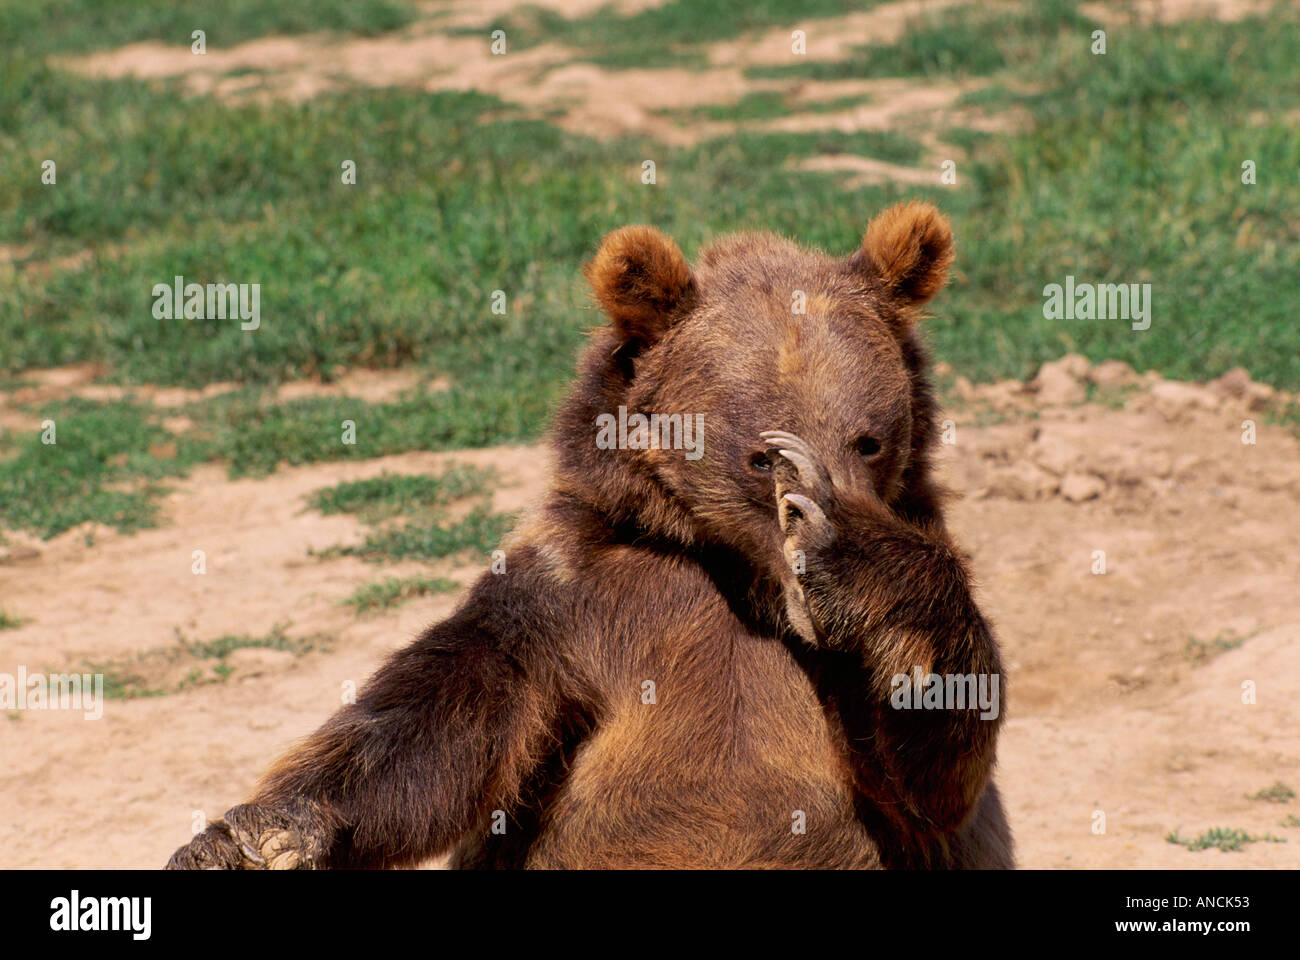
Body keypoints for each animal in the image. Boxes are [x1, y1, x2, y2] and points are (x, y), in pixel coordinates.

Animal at [167, 200, 1008, 868]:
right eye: (759, 454)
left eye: (869, 440)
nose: (813, 603)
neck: (738, 578)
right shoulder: (576, 598)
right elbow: (435, 725)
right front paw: (252, 840)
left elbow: (942, 758)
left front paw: (853, 558)